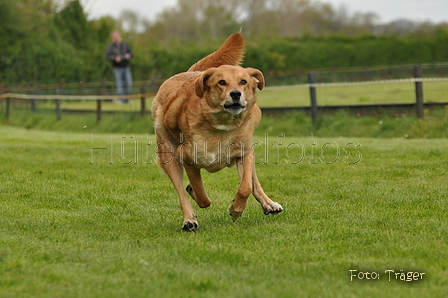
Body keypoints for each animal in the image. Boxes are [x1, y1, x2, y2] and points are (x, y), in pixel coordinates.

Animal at [152, 33, 282, 233]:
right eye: (222, 82)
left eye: (243, 81)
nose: (236, 94)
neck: (222, 128)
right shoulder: (187, 159)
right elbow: (202, 196)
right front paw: (196, 198)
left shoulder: (244, 152)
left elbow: (246, 186)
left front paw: (236, 209)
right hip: (168, 155)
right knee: (181, 192)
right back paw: (189, 219)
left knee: (254, 182)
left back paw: (269, 204)